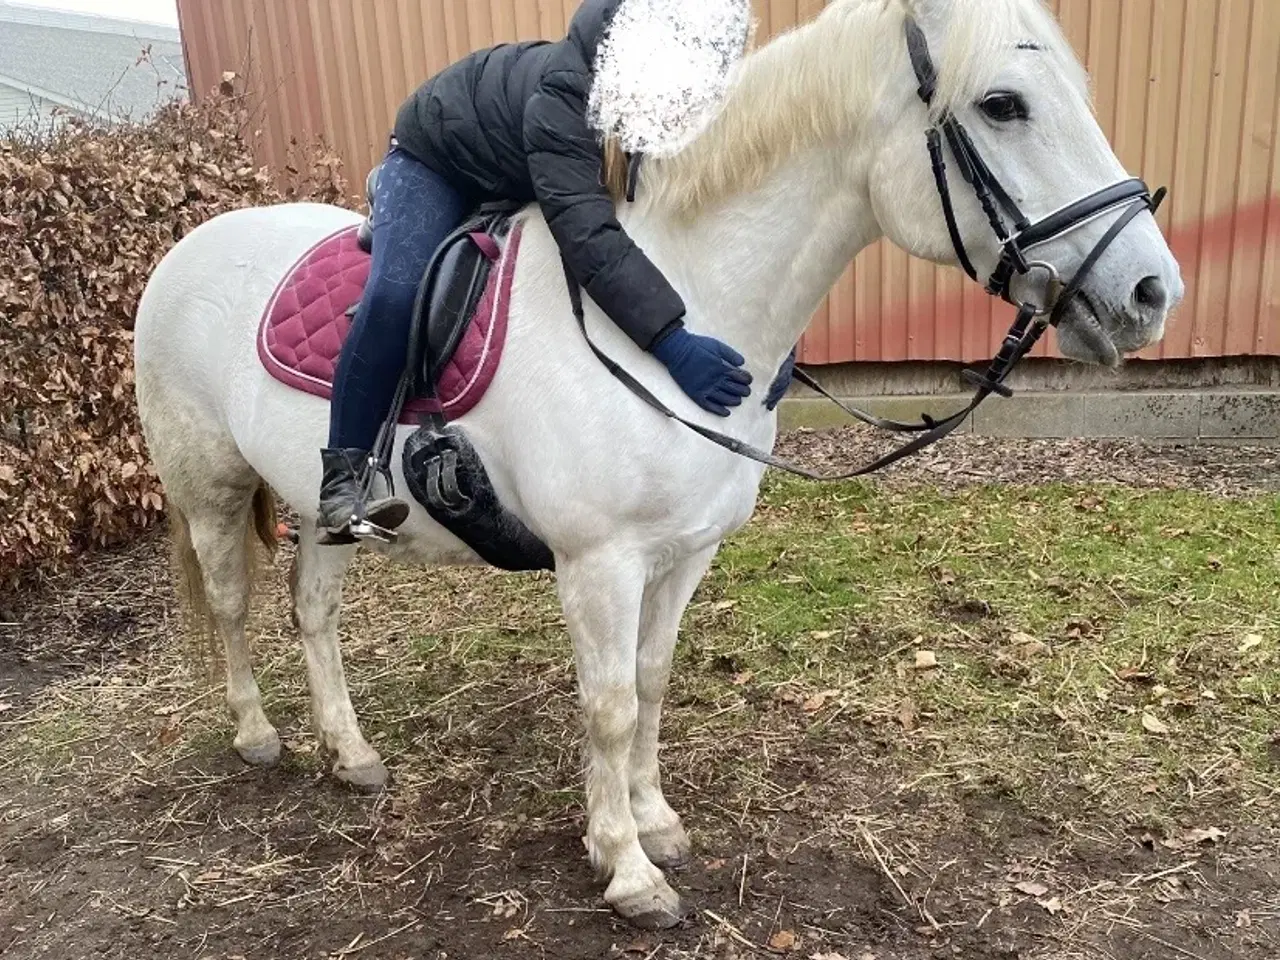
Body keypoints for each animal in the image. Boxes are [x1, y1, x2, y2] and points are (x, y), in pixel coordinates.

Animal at [133, 0, 1183, 928]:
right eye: (1003, 103)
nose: (1150, 290)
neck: (680, 314)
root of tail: (186, 246)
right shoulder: (598, 565)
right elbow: (605, 706)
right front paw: (627, 871)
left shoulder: (683, 555)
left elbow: (649, 682)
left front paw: (653, 824)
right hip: (211, 490)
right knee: (231, 605)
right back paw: (258, 735)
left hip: (322, 508)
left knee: (314, 612)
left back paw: (349, 753)